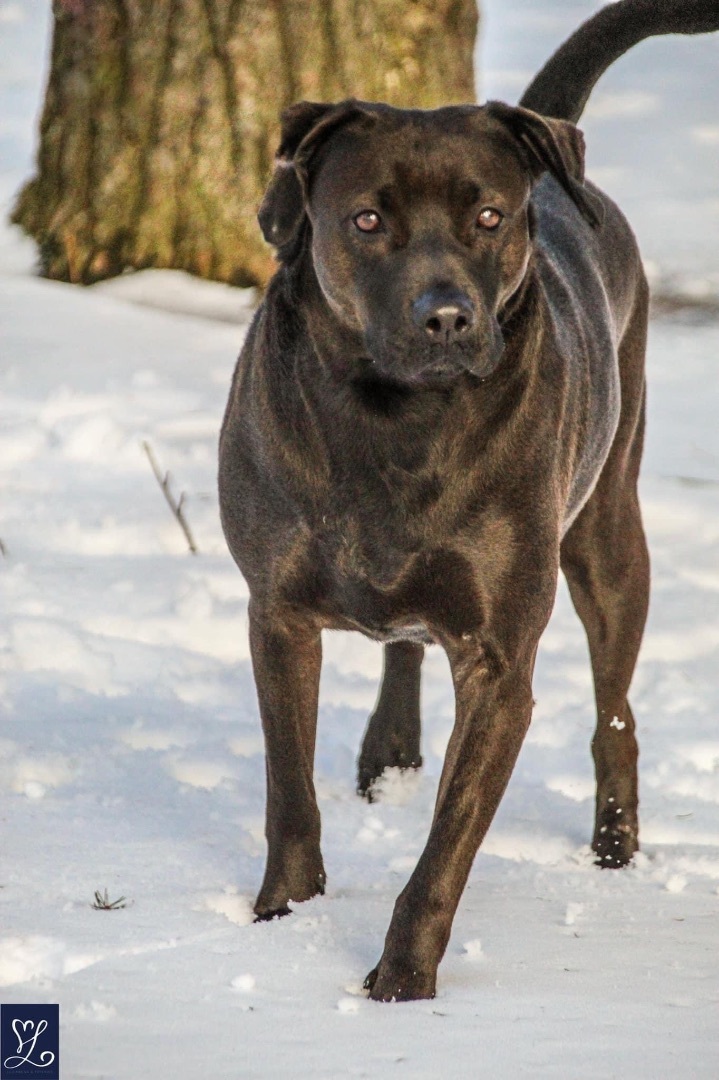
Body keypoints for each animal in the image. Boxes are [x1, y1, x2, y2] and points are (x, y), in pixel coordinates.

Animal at [218, 0, 716, 1002]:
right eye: (367, 218)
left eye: (488, 216)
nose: (444, 316)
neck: (394, 423)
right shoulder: (276, 614)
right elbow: (289, 792)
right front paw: (281, 917)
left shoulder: (498, 665)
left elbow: (444, 853)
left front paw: (399, 983)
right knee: (404, 647)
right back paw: (390, 753)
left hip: (607, 531)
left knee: (613, 711)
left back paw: (613, 846)